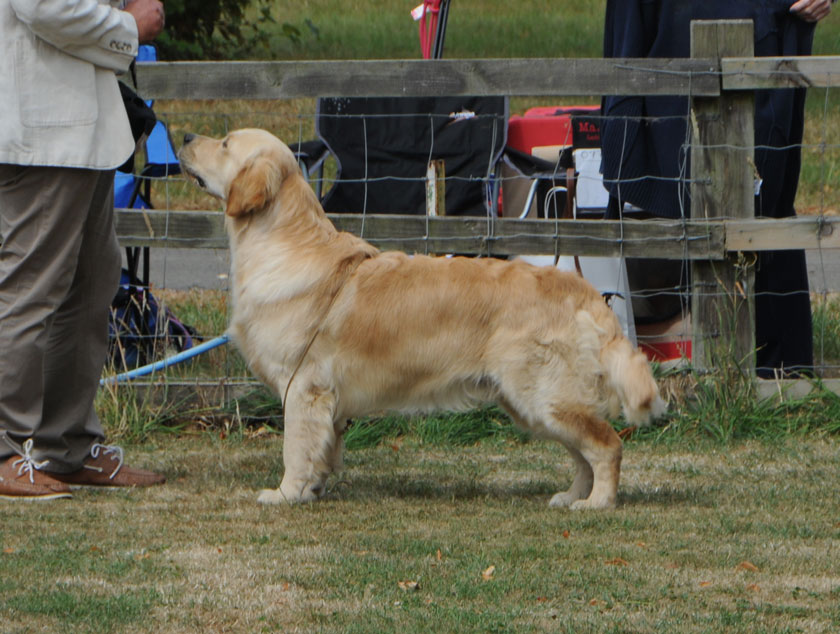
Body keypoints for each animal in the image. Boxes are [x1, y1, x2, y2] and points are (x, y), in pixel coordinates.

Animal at [177, 128, 664, 508]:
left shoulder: (303, 387)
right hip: (536, 403)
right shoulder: (324, 400)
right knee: (583, 452)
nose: (183, 137)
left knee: (606, 445)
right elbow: (325, 449)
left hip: (544, 396)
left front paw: (286, 493)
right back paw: (573, 496)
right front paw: (314, 488)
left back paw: (598, 502)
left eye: (225, 143)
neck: (283, 243)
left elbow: (296, 449)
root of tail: (583, 291)